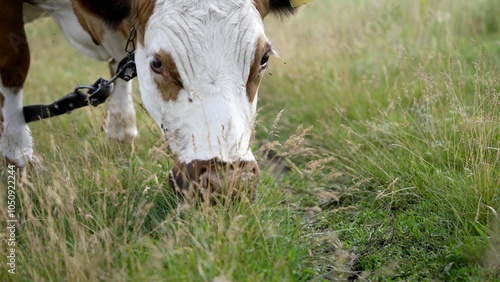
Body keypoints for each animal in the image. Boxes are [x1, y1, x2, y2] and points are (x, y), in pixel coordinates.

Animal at [0, 0, 310, 198]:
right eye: (157, 63)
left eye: (264, 58)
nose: (226, 183)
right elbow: (14, 62)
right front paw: (19, 158)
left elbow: (120, 62)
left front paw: (121, 135)